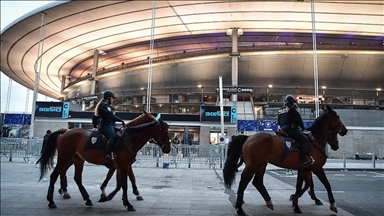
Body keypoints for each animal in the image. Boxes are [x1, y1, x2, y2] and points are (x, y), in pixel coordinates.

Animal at [38, 110, 170, 212]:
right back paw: (52, 200)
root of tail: (65, 131)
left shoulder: (122, 166)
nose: (168, 149)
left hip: (77, 160)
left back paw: (83, 198)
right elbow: (124, 183)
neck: (128, 138)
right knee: (55, 175)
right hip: (64, 158)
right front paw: (127, 202)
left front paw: (109, 196)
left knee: (75, 177)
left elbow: (121, 182)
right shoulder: (123, 165)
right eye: (164, 131)